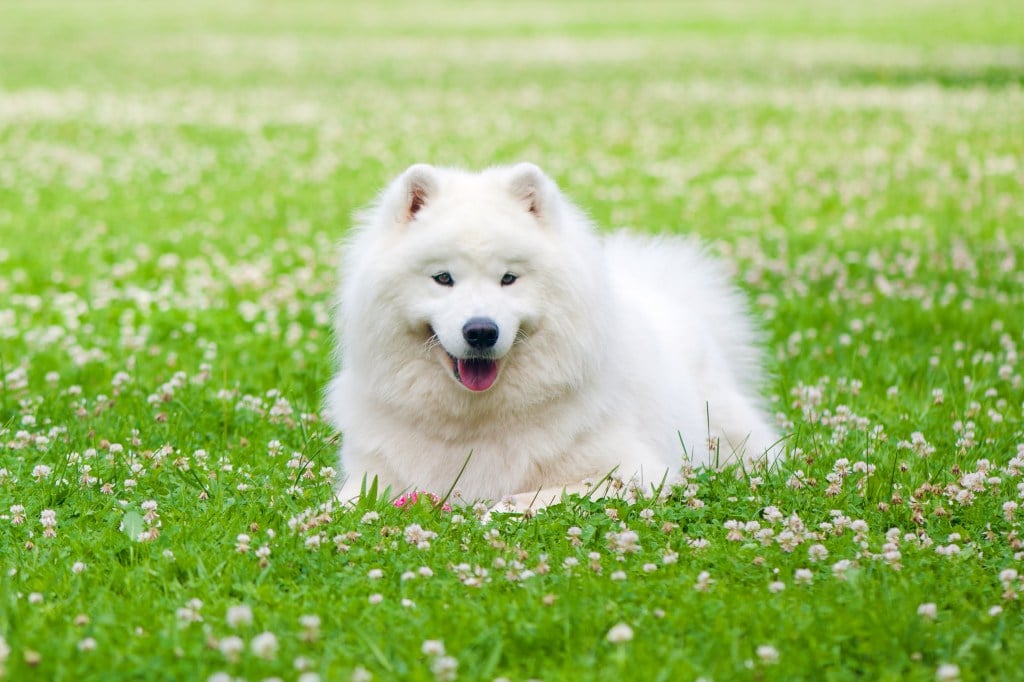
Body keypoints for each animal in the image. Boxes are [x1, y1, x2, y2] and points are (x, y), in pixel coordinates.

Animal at [329, 161, 782, 507]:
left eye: (508, 278)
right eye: (443, 278)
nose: (481, 331)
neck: (474, 422)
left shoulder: (640, 471)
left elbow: (536, 496)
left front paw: (499, 508)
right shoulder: (371, 475)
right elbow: (346, 506)